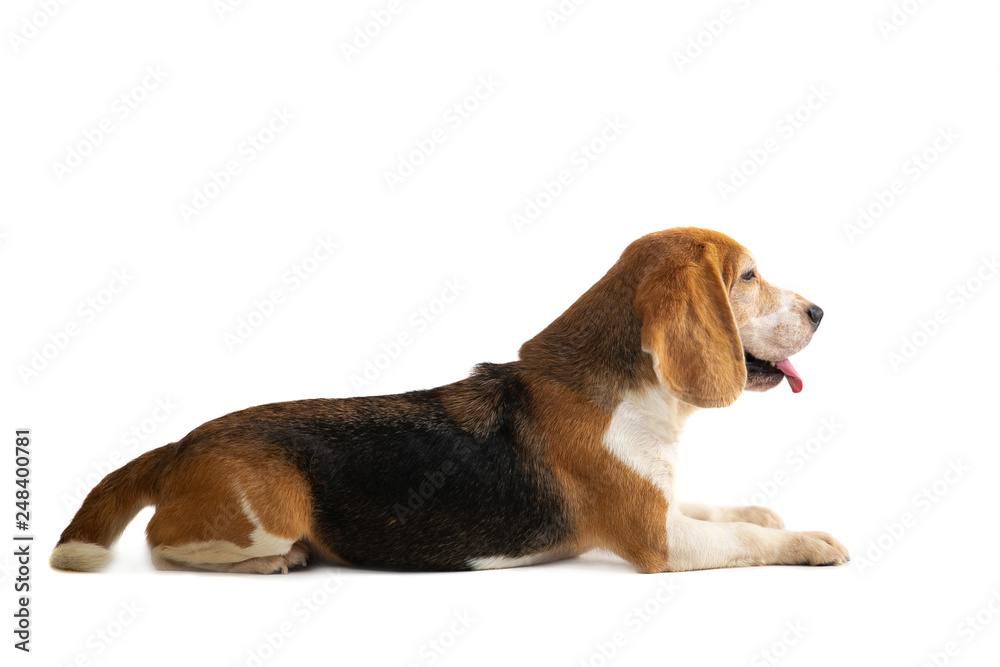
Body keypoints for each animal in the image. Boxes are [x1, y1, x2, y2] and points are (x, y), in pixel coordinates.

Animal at [50, 228, 848, 576]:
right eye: (748, 277)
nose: (819, 312)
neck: (633, 392)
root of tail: (180, 444)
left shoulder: (663, 499)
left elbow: (726, 511)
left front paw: (765, 510)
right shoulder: (659, 539)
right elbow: (745, 540)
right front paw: (812, 541)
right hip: (266, 514)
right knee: (164, 545)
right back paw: (274, 562)